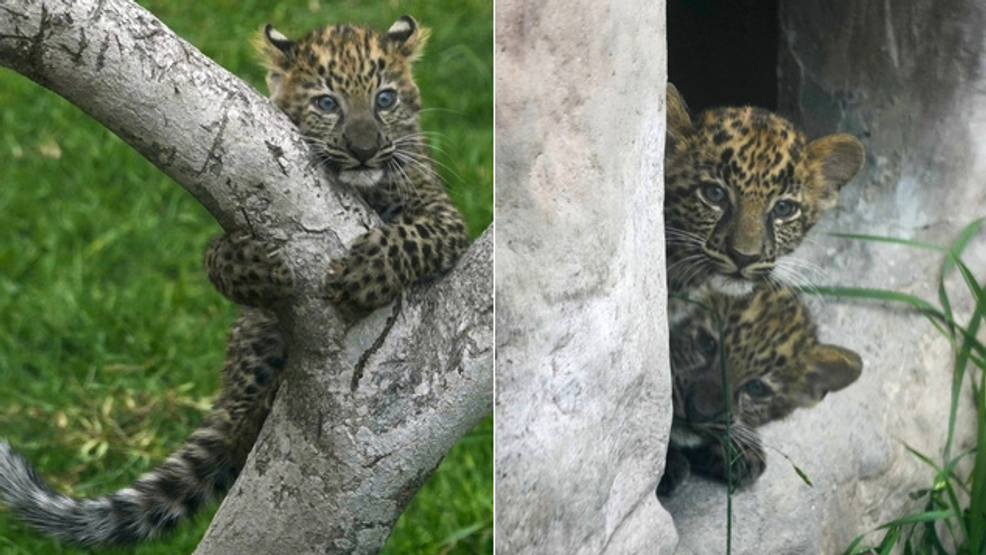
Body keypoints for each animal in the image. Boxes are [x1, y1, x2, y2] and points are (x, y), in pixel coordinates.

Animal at [0, 15, 468, 546]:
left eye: (384, 99)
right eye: (327, 103)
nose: (364, 149)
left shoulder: (443, 215)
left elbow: (413, 236)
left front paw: (363, 274)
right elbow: (214, 257)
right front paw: (249, 264)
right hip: (256, 338)